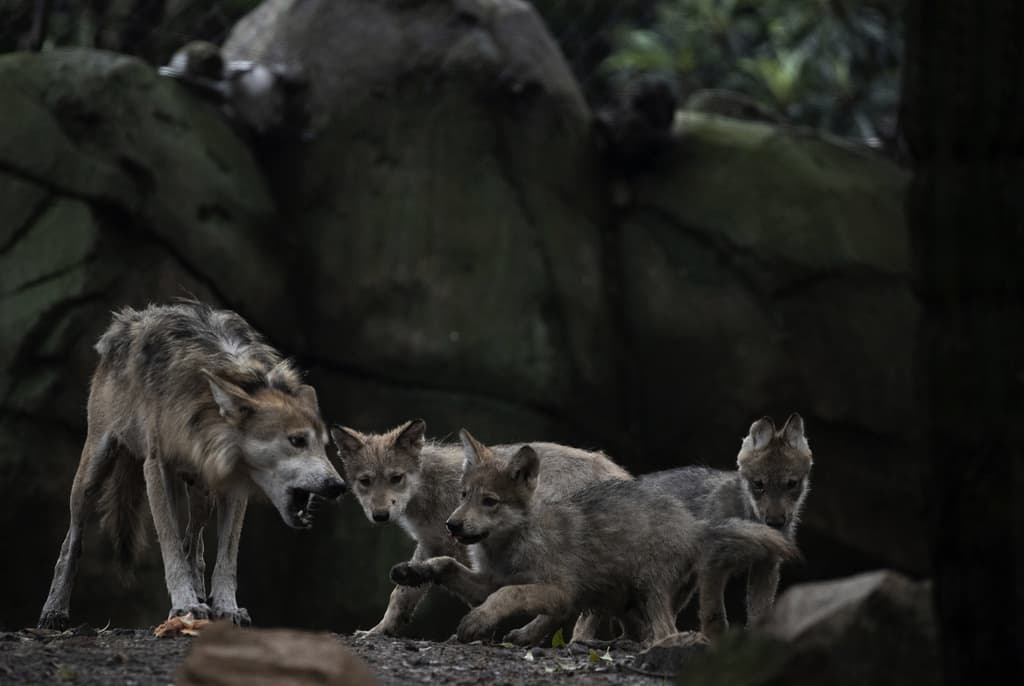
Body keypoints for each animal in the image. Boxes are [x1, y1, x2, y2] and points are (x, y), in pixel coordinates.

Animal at [37, 301, 346, 630]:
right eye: (297, 440)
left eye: (325, 445)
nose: (338, 486)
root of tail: (122, 323)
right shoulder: (156, 468)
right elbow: (170, 545)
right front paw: (185, 605)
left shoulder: (233, 482)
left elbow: (225, 558)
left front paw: (226, 607)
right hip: (93, 473)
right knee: (72, 540)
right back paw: (54, 611)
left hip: (202, 494)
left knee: (194, 544)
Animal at [330, 420, 630, 637]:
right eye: (365, 481)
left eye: (396, 478)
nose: (380, 515)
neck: (431, 491)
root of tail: (622, 475)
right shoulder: (431, 544)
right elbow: (402, 594)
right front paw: (380, 630)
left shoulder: (468, 552)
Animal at [389, 429, 797, 646]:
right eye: (463, 496)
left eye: (489, 501)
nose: (452, 526)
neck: (513, 544)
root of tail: (693, 524)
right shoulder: (483, 583)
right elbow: (446, 564)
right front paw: (412, 572)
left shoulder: (557, 589)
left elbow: (511, 594)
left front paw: (474, 623)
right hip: (620, 601)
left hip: (646, 589)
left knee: (664, 632)